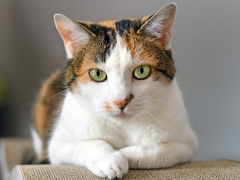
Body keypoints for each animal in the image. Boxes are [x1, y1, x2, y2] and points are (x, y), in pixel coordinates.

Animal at [31, 3, 197, 179]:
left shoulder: (187, 145)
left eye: (142, 71)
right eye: (97, 74)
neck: (123, 127)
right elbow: (88, 143)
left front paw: (123, 155)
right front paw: (109, 159)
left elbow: (157, 149)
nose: (121, 101)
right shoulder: (58, 146)